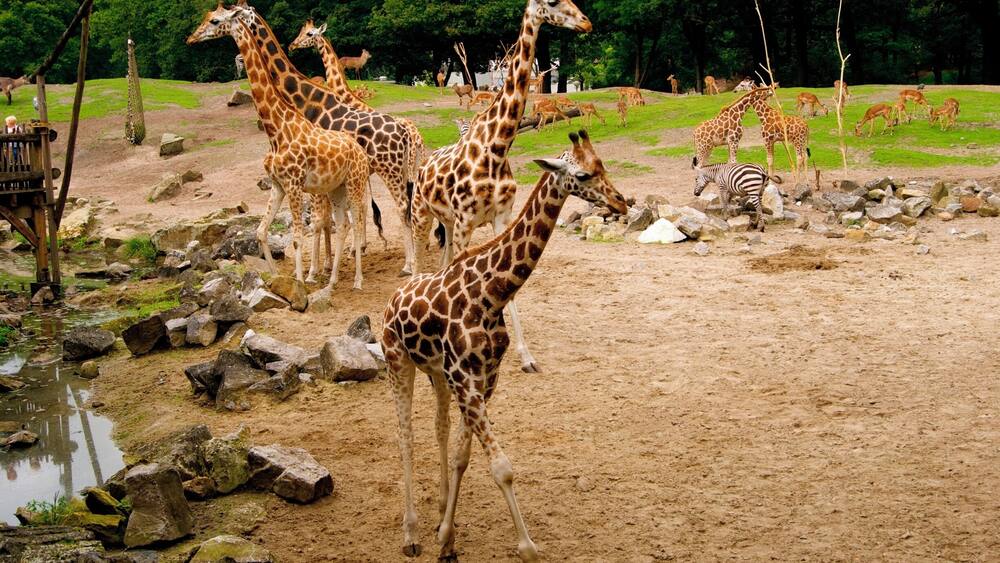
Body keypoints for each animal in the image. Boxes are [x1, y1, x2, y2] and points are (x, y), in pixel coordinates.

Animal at [188, 6, 371, 290]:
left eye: (215, 20)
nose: (191, 38)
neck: (276, 130)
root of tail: (360, 151)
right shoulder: (277, 184)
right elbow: (261, 231)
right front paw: (275, 278)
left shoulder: (294, 184)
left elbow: (297, 236)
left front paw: (302, 280)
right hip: (336, 188)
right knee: (342, 225)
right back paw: (332, 280)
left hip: (354, 182)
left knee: (359, 218)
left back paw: (358, 280)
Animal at [216, 2, 419, 276]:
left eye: (310, 33)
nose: (293, 44)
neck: (310, 102)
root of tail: (406, 131)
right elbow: (330, 218)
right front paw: (329, 263)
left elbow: (321, 219)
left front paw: (316, 269)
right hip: (396, 169)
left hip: (390, 171)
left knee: (401, 206)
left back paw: (408, 263)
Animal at [383, 130, 627, 562]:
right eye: (583, 174)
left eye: (602, 165)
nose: (621, 202)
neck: (491, 294)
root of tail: (390, 302)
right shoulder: (466, 379)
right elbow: (502, 467)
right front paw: (527, 547)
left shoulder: (484, 377)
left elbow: (462, 455)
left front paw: (446, 536)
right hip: (397, 362)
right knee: (405, 435)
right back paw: (410, 533)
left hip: (436, 375)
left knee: (438, 427)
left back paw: (437, 513)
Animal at [408, 0, 592, 373]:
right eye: (552, 2)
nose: (585, 23)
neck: (496, 147)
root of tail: (423, 167)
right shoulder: (466, 221)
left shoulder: (499, 217)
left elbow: (511, 288)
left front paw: (526, 356)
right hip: (423, 214)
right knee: (419, 258)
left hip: (447, 222)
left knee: (442, 260)